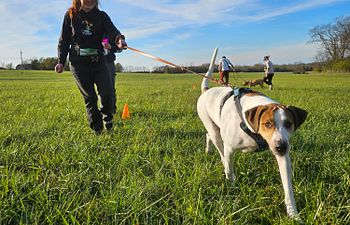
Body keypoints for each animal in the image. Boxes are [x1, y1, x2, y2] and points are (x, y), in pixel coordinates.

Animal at [198, 48, 308, 220]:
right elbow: (229, 170)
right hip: (213, 129)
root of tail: (206, 91)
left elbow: (287, 187)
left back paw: (208, 150)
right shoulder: (230, 149)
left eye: (288, 124)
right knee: (218, 145)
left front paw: (293, 214)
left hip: (214, 128)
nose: (281, 148)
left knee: (209, 135)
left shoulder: (282, 155)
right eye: (267, 124)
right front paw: (232, 186)